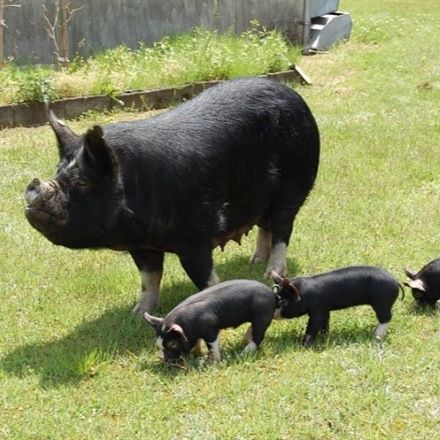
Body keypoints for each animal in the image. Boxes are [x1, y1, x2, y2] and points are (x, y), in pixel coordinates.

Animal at [24, 78, 320, 312]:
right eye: (59, 173)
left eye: (82, 181)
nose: (34, 187)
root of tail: (293, 95)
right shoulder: (140, 245)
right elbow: (149, 277)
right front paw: (138, 312)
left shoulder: (197, 235)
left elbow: (204, 277)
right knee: (265, 224)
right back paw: (254, 260)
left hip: (294, 184)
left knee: (282, 229)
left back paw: (270, 272)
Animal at [144, 280, 276, 362]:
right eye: (159, 345)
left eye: (172, 344)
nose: (161, 358)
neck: (188, 325)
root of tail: (272, 294)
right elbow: (197, 342)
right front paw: (197, 354)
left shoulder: (210, 328)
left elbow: (212, 346)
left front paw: (213, 362)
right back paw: (244, 342)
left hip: (262, 315)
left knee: (258, 336)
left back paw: (243, 353)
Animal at [272, 264, 402, 348]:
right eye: (277, 296)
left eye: (283, 301)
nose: (272, 312)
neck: (304, 293)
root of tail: (395, 281)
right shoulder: (325, 309)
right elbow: (325, 322)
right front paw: (325, 337)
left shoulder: (317, 309)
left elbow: (313, 326)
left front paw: (303, 346)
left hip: (382, 302)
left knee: (386, 317)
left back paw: (376, 337)